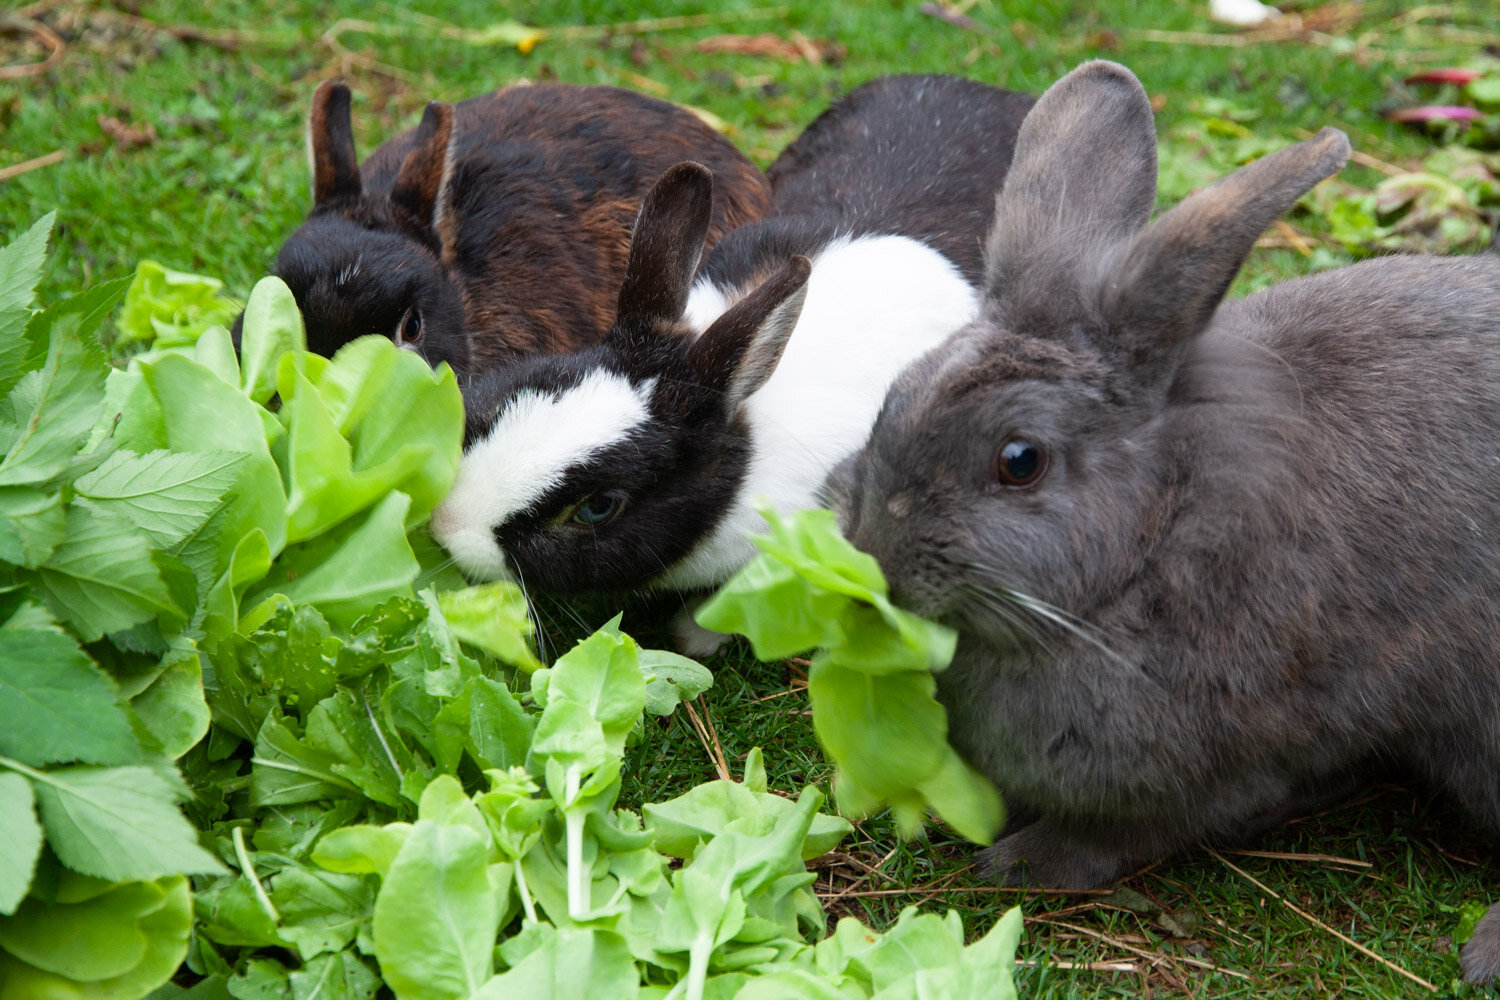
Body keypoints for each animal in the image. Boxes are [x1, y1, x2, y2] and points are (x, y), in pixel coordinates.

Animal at [834, 58, 1500, 983]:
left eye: (1020, 460)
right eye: (893, 399)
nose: (874, 563)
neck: (1154, 535)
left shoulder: (1254, 749)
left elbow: (1141, 827)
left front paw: (1025, 861)